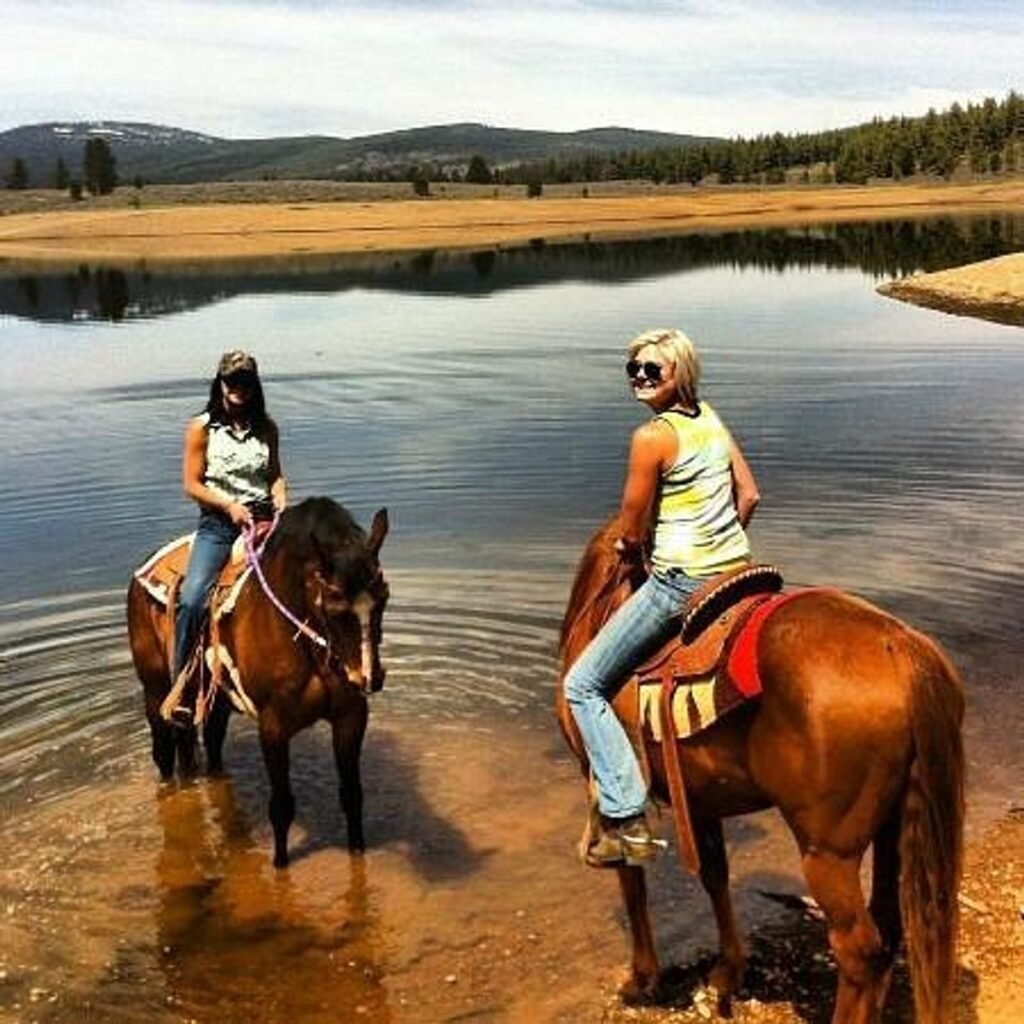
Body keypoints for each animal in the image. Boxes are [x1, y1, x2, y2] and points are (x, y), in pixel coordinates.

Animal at [124, 495, 387, 864]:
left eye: (384, 599)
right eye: (334, 609)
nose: (368, 678)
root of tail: (143, 571)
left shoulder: (351, 716)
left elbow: (352, 796)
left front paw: (357, 855)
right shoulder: (273, 728)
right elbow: (281, 806)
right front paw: (279, 865)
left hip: (217, 701)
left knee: (212, 747)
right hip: (156, 692)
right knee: (163, 753)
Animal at [557, 520, 962, 1024]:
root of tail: (898, 646)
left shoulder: (599, 781)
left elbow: (632, 881)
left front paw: (642, 978)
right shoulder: (701, 798)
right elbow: (714, 874)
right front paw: (727, 972)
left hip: (828, 852)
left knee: (859, 951)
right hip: (894, 828)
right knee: (888, 929)